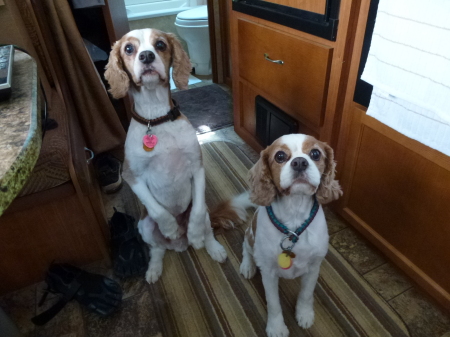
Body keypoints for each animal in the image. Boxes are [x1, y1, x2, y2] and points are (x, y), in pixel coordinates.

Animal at [103, 28, 227, 282]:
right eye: (128, 48)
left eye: (160, 44)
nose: (147, 56)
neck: (156, 118)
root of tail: (178, 246)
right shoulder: (132, 176)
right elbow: (158, 209)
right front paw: (170, 227)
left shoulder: (197, 165)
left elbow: (196, 213)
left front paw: (195, 234)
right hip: (144, 227)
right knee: (157, 248)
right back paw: (154, 267)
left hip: (206, 214)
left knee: (207, 228)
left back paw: (210, 246)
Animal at [217, 134, 342, 336]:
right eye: (280, 156)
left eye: (315, 153)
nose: (299, 162)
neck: (294, 215)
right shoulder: (268, 272)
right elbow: (274, 303)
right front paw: (276, 327)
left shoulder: (314, 267)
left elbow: (306, 294)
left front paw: (304, 315)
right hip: (250, 236)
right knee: (246, 248)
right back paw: (247, 266)